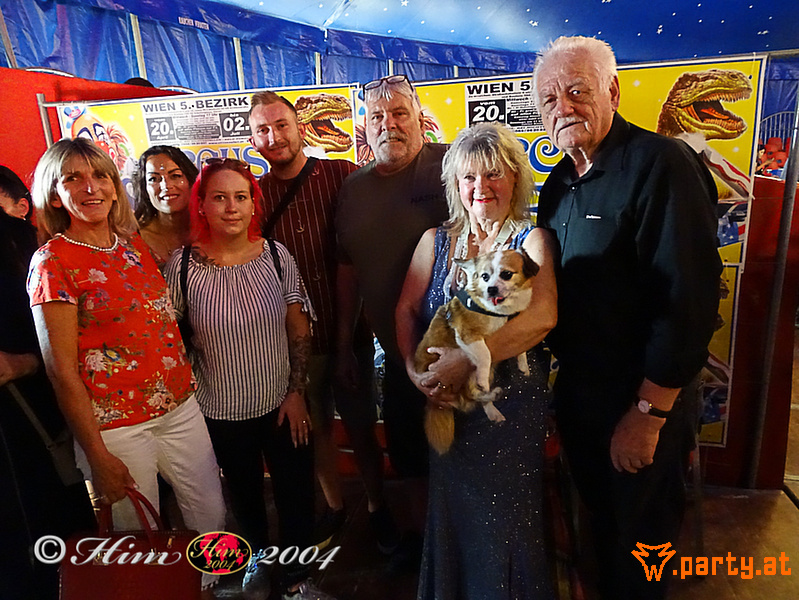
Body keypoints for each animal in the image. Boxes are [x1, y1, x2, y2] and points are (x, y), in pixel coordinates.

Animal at [415, 248, 539, 454]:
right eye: (484, 276)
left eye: (506, 274)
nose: (491, 289)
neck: (498, 311)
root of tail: (435, 403)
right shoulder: (467, 335)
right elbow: (484, 354)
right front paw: (484, 370)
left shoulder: (515, 325)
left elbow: (521, 346)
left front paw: (523, 365)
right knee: (473, 392)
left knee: (475, 396)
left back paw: (492, 405)